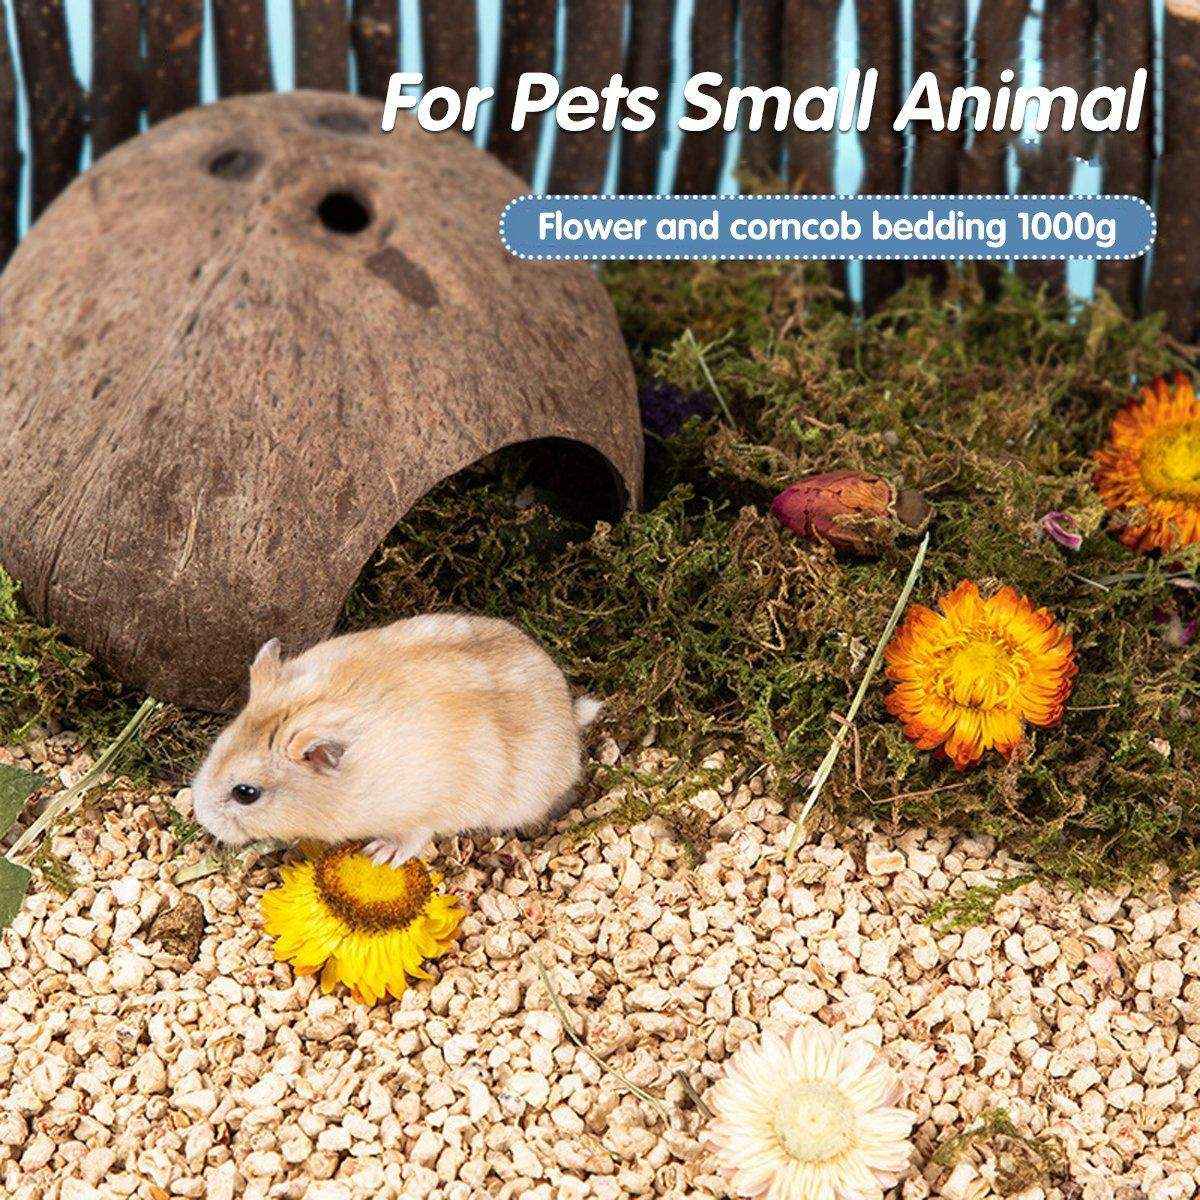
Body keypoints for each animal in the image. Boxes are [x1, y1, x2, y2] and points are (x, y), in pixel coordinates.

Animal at [190, 613, 601, 866]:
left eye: (246, 793)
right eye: (217, 745)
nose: (202, 818)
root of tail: (570, 714)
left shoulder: (422, 810)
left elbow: (411, 838)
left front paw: (378, 853)